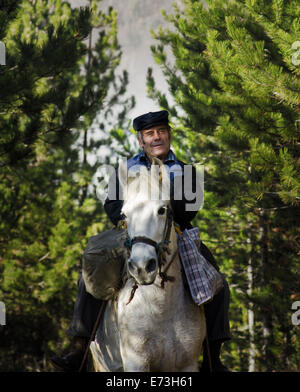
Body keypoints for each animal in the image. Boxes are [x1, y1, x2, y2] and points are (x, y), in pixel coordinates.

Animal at [89, 158, 206, 370]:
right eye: (124, 215)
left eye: (161, 210)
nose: (142, 267)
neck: (161, 309)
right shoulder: (136, 362)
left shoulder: (188, 363)